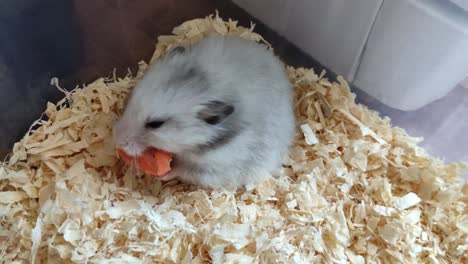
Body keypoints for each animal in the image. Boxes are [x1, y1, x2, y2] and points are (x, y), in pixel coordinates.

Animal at [113, 35, 294, 189]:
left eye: (156, 124)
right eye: (132, 97)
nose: (117, 141)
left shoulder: (214, 168)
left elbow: (183, 171)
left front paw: (162, 176)